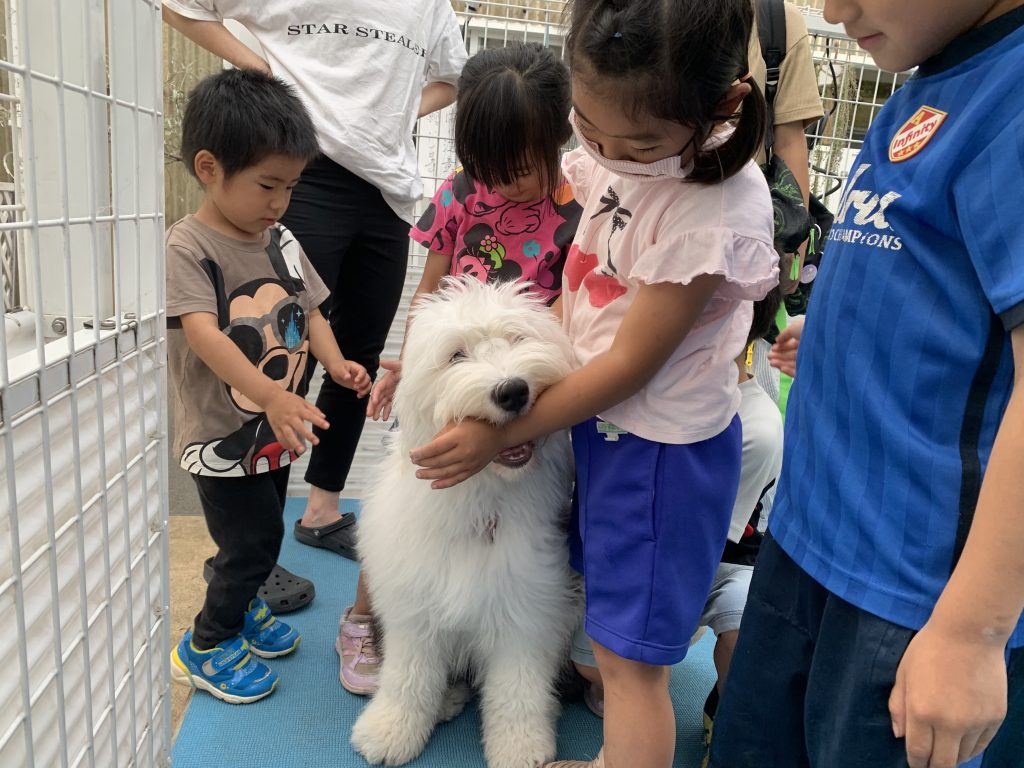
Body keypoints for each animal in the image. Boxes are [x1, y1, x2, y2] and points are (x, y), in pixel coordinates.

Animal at [350, 278, 577, 768]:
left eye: (517, 337)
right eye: (456, 356)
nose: (512, 390)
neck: (481, 499)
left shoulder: (528, 607)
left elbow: (517, 689)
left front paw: (521, 747)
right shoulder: (414, 603)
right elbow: (408, 677)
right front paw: (388, 732)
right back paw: (446, 701)